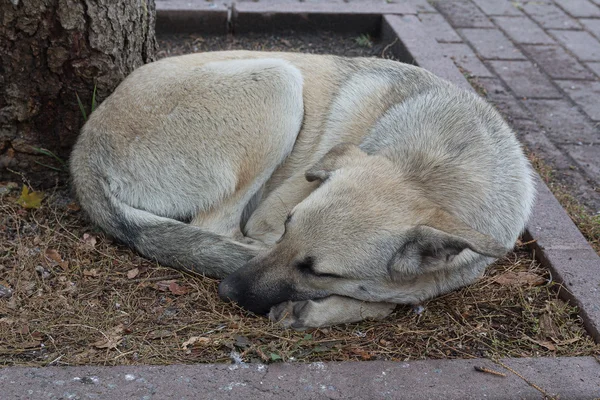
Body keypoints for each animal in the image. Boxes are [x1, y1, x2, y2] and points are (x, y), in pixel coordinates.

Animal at [70, 50, 536, 328]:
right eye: (288, 227)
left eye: (320, 271)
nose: (229, 292)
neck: (438, 165)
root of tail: (83, 150)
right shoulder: (269, 222)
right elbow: (386, 301)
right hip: (278, 81)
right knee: (217, 229)